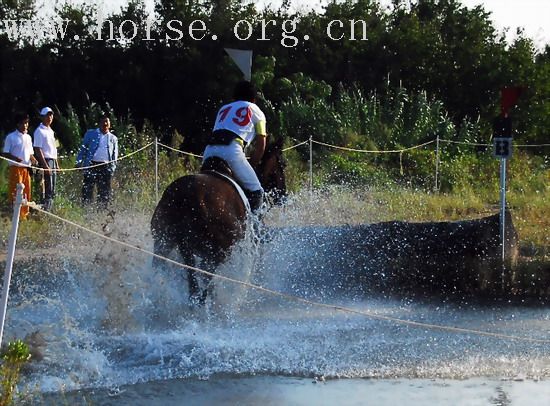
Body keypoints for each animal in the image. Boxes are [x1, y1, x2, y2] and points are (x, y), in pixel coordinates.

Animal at [152, 139, 288, 304]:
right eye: (283, 164)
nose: (284, 195)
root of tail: (187, 196)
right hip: (216, 253)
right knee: (202, 285)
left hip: (164, 243)